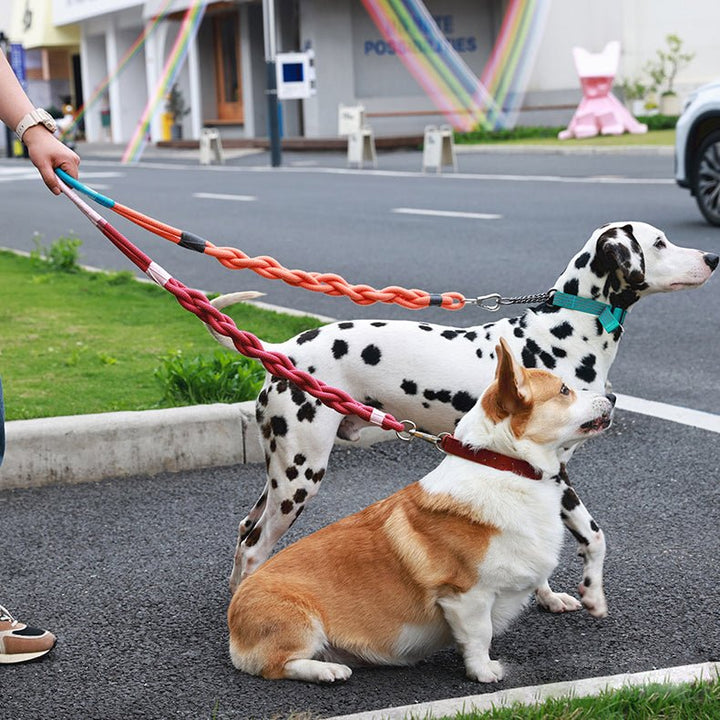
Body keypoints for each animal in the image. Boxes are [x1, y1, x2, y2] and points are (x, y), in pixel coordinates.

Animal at [205, 219, 716, 600]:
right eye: (660, 242)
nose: (713, 258)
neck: (565, 334)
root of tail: (285, 349)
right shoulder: (558, 474)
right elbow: (594, 536)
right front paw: (591, 594)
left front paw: (548, 597)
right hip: (300, 476)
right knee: (254, 549)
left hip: (281, 474)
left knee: (244, 532)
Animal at [228, 340, 616, 684]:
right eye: (564, 390)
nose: (612, 397)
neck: (504, 465)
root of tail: (234, 622)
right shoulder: (466, 595)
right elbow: (481, 635)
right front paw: (484, 672)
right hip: (301, 606)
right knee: (277, 663)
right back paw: (328, 672)